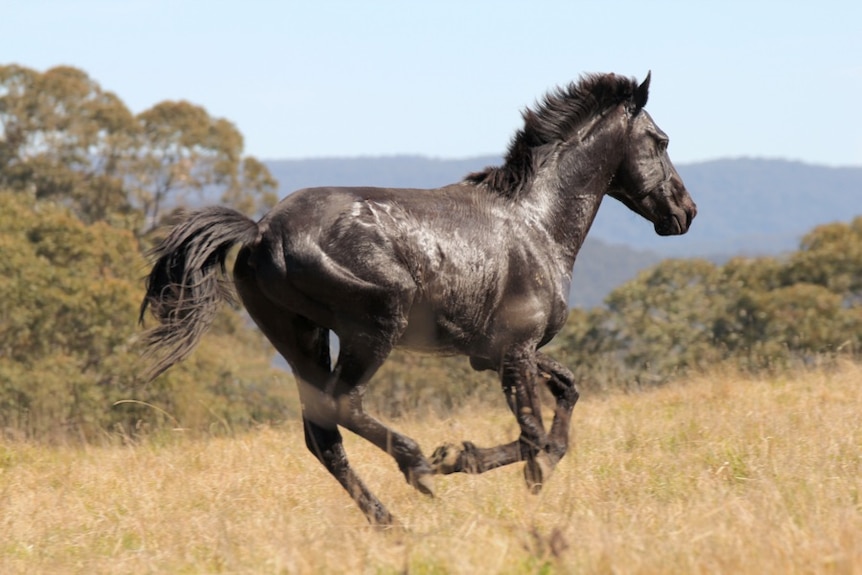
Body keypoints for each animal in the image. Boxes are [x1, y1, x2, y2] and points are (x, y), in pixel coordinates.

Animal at [140, 72, 696, 528]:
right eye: (661, 140)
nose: (685, 212)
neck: (536, 224)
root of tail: (259, 232)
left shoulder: (494, 354)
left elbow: (566, 397)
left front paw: (532, 476)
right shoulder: (515, 352)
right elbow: (533, 434)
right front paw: (458, 458)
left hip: (303, 337)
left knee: (322, 435)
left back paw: (390, 523)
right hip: (373, 326)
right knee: (343, 404)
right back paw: (417, 466)